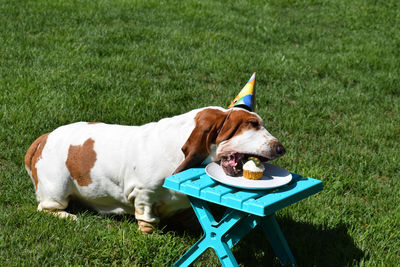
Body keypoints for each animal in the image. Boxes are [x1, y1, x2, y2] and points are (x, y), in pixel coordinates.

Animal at [24, 107, 284, 234]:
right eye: (251, 124)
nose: (281, 148)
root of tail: (44, 137)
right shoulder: (144, 194)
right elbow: (147, 219)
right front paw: (149, 235)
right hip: (56, 191)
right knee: (46, 208)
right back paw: (68, 216)